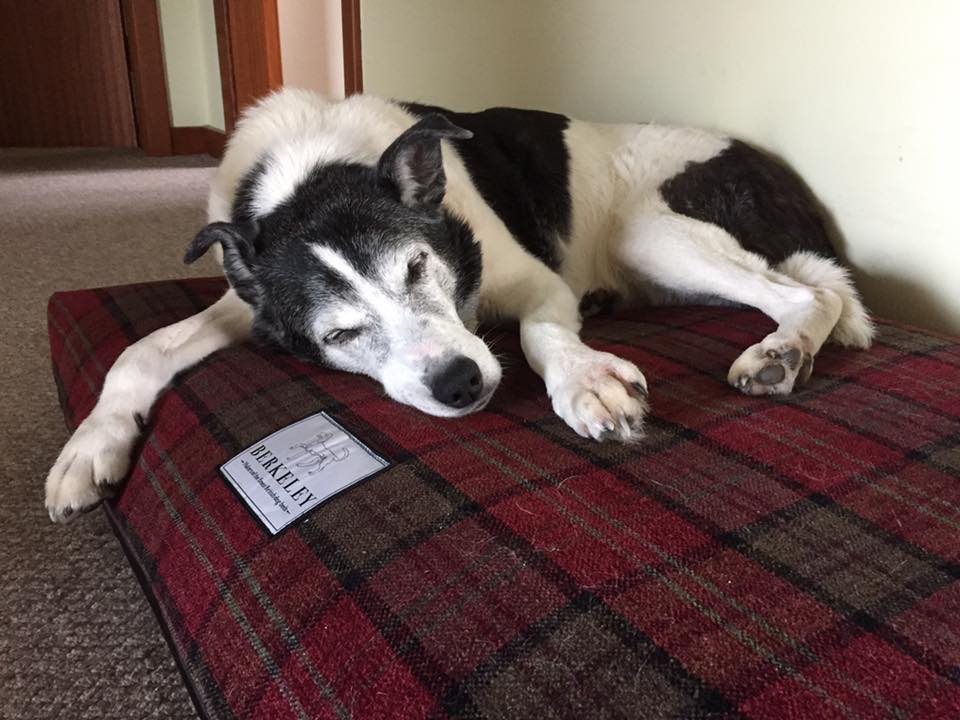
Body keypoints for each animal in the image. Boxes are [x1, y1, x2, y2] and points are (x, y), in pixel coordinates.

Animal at [45, 87, 872, 520]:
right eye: (339, 334)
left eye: (418, 265)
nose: (459, 384)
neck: (309, 167)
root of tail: (784, 178)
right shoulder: (251, 303)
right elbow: (141, 349)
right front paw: (89, 447)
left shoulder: (536, 283)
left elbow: (541, 334)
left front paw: (585, 381)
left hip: (651, 232)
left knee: (809, 291)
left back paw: (779, 352)